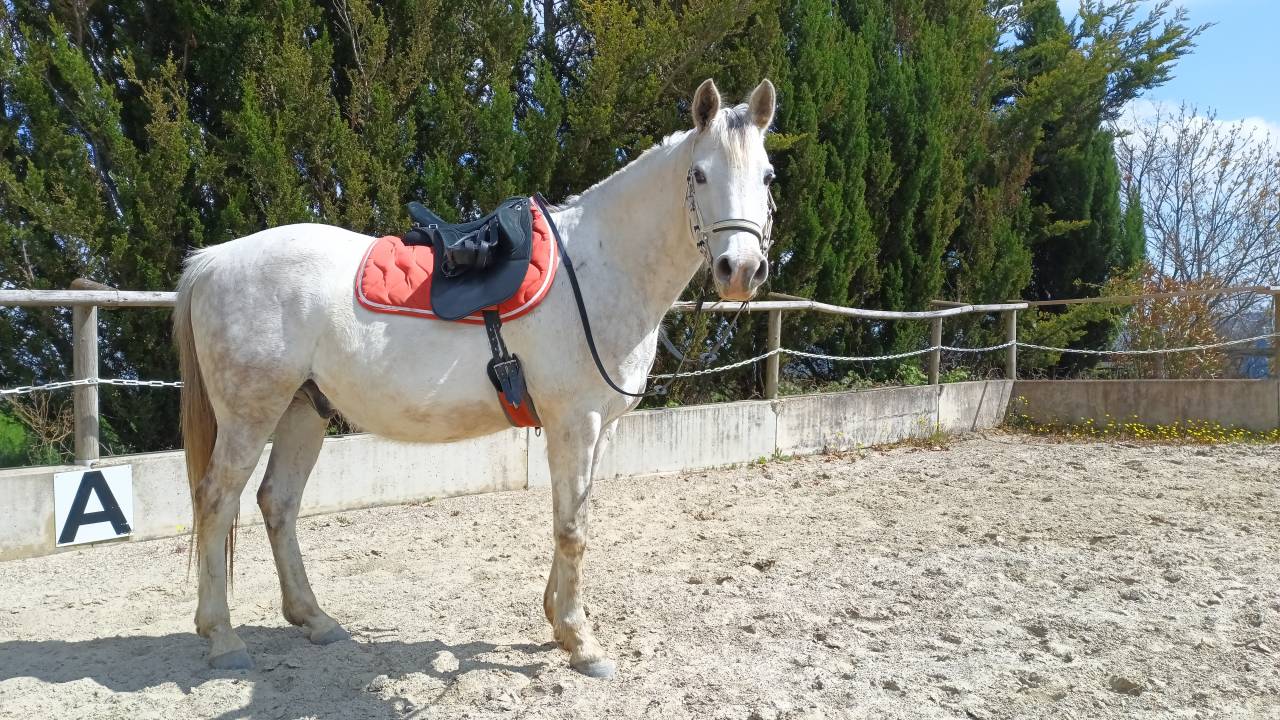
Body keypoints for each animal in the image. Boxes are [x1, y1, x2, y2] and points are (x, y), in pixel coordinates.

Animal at [174, 78, 776, 677]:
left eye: (767, 175)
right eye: (699, 174)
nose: (740, 270)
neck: (599, 268)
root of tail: (213, 260)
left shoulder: (599, 428)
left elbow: (573, 518)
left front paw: (558, 621)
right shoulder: (574, 422)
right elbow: (572, 530)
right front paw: (582, 643)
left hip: (304, 409)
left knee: (277, 502)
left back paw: (315, 620)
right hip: (251, 415)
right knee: (216, 500)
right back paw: (222, 637)